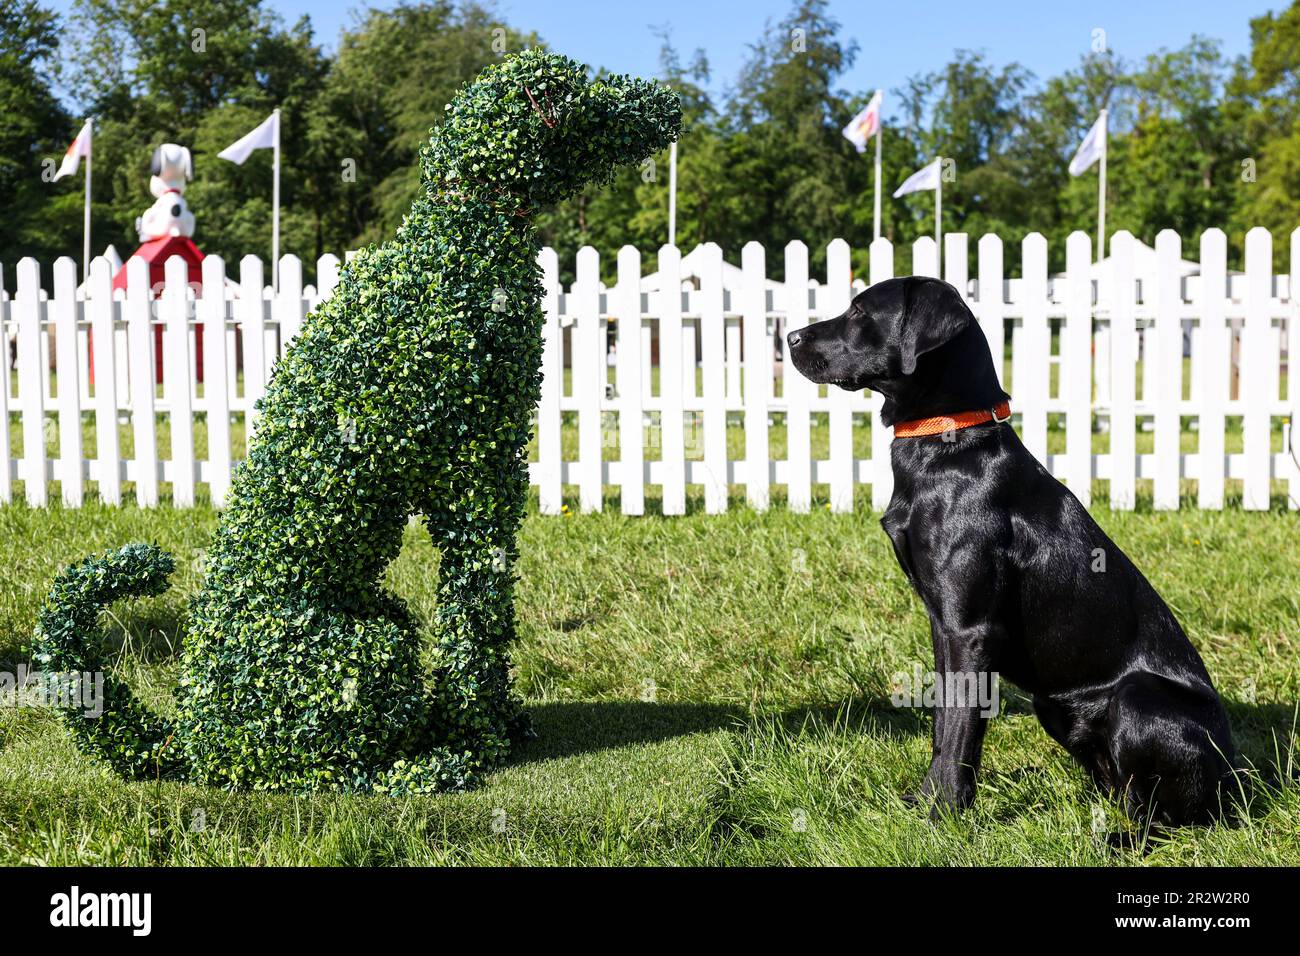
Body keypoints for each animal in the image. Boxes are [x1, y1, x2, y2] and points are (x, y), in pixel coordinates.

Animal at [785, 277, 1232, 832]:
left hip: (1138, 699)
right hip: (1054, 706)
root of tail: (1236, 776)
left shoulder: (971, 630)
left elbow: (960, 733)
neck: (948, 438)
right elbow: (944, 722)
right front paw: (922, 803)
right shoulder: (944, 626)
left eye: (860, 311)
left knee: (1171, 816)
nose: (789, 337)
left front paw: (942, 818)